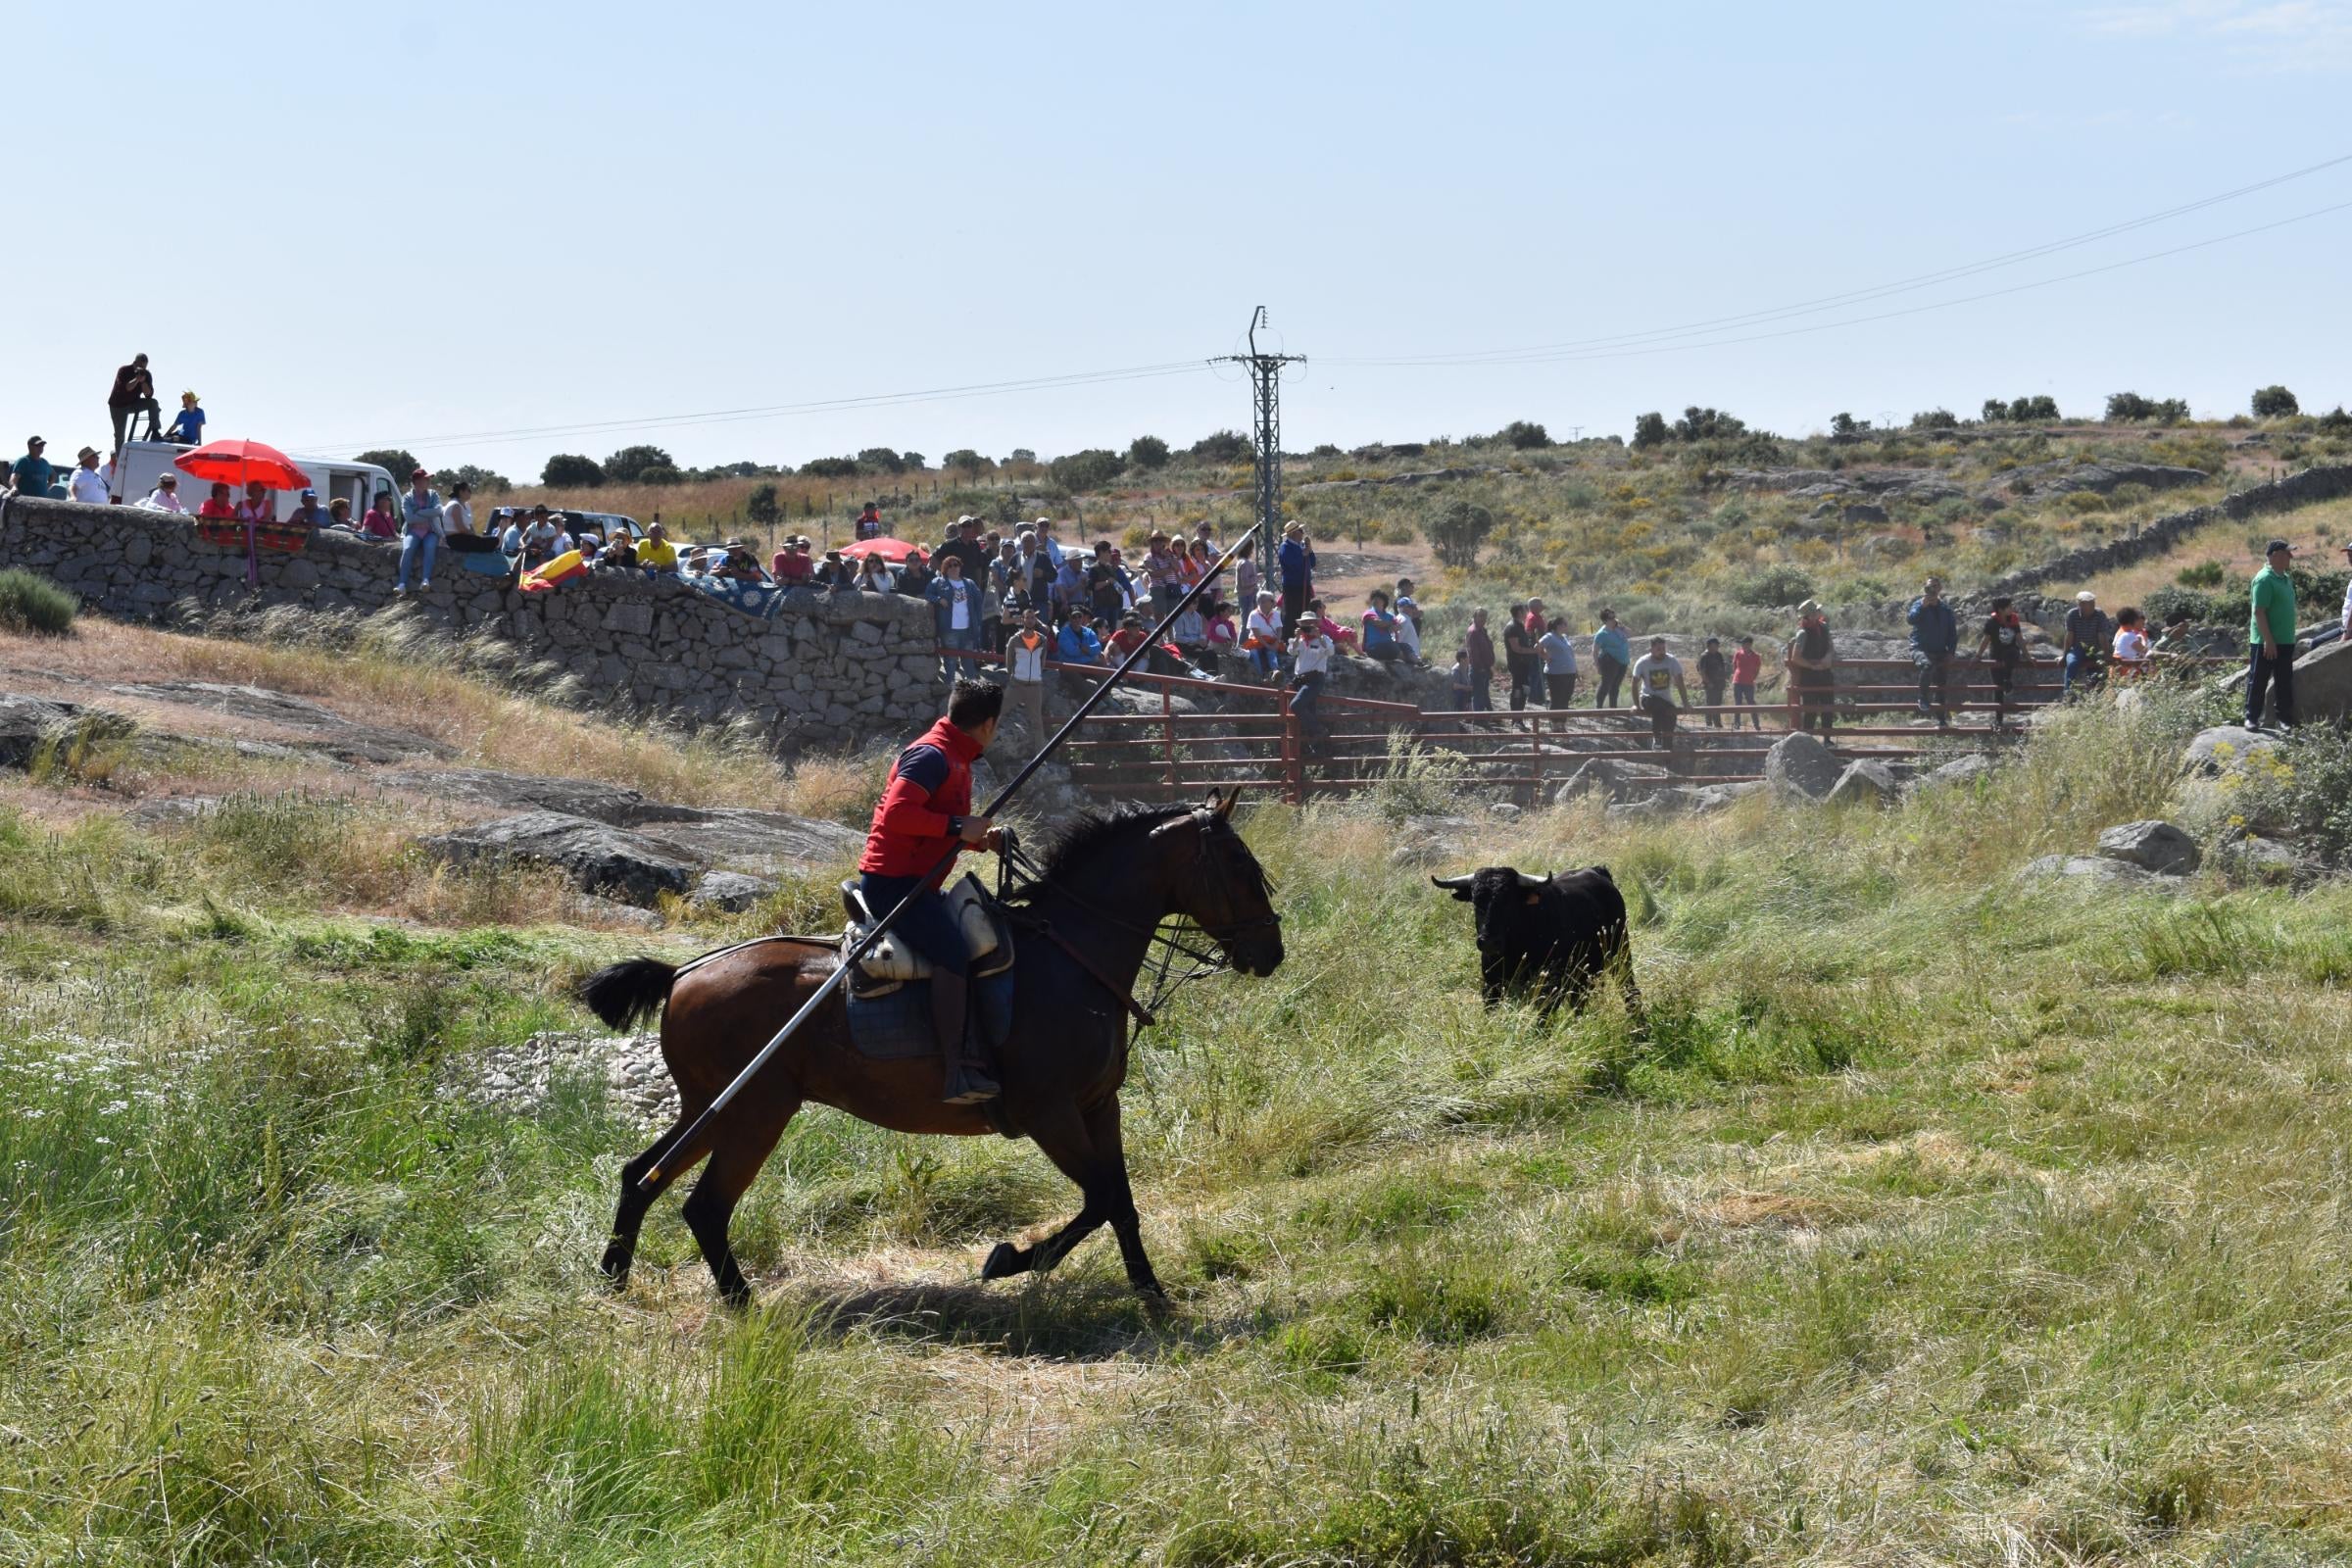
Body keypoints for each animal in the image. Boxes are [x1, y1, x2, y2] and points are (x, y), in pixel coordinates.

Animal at [585, 789, 1289, 1306]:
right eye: (1240, 867)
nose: (1271, 952)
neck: (1071, 955)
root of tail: (684, 972)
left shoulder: (1097, 1106)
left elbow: (1122, 1202)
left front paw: (1152, 1294)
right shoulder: (1049, 1113)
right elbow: (1100, 1198)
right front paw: (1010, 1260)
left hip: (712, 1109)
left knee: (639, 1176)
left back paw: (615, 1276)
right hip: (754, 1112)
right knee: (705, 1207)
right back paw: (742, 1306)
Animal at [1420, 864, 1646, 1024]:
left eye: (1509, 902)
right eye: (1476, 901)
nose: (1490, 942)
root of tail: (1597, 871)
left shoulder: (1550, 985)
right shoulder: (1491, 985)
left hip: (1620, 951)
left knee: (1629, 988)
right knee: (1579, 999)